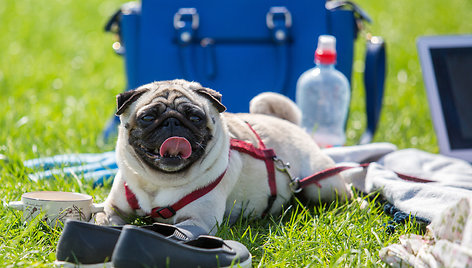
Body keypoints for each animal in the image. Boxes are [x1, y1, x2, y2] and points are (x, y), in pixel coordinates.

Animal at [97, 78, 350, 233]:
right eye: (148, 117)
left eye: (195, 117)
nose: (172, 122)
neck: (160, 181)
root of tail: (291, 125)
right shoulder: (113, 208)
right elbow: (104, 217)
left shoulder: (197, 222)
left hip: (324, 185)